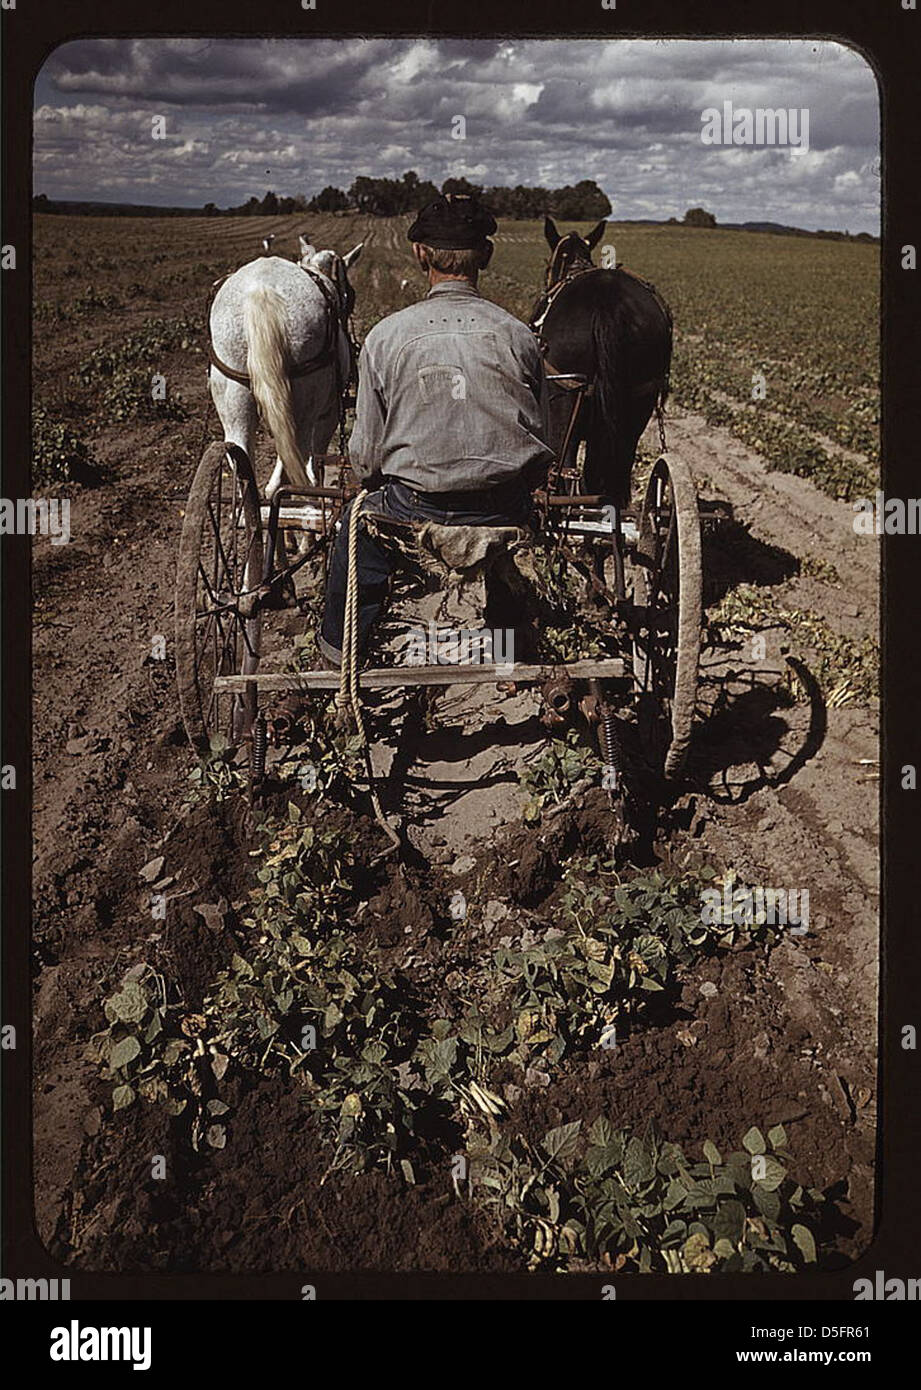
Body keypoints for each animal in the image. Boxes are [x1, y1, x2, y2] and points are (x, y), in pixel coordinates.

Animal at [208, 236, 363, 497]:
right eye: (350, 294)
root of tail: (261, 291)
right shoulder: (330, 411)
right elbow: (316, 459)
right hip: (305, 401)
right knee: (292, 463)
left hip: (232, 391)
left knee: (241, 459)